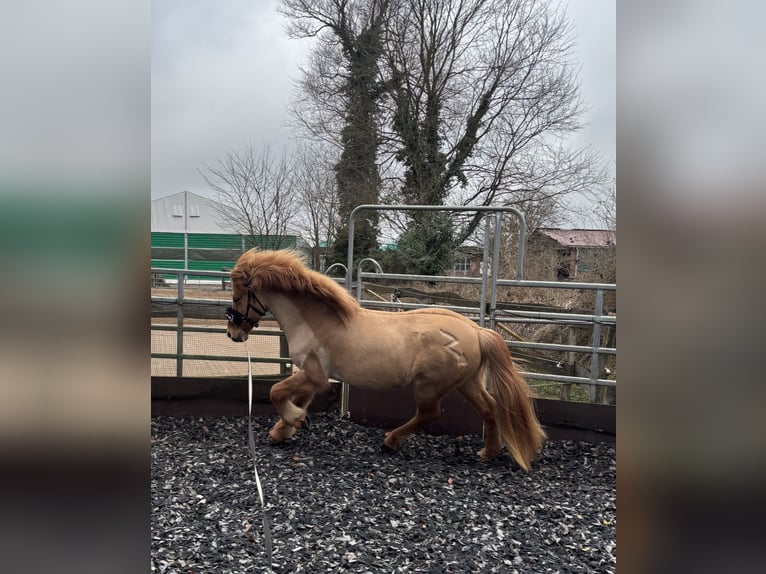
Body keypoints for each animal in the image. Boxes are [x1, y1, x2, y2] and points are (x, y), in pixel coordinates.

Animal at [225, 248, 546, 471]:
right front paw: (284, 430)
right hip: (467, 383)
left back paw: (390, 442)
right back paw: (487, 453)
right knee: (489, 408)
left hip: (430, 386)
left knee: (430, 414)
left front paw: (292, 422)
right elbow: (296, 399)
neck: (316, 321)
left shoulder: (315, 375)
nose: (232, 333)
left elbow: (276, 391)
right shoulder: (312, 376)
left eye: (237, 297)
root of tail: (477, 331)